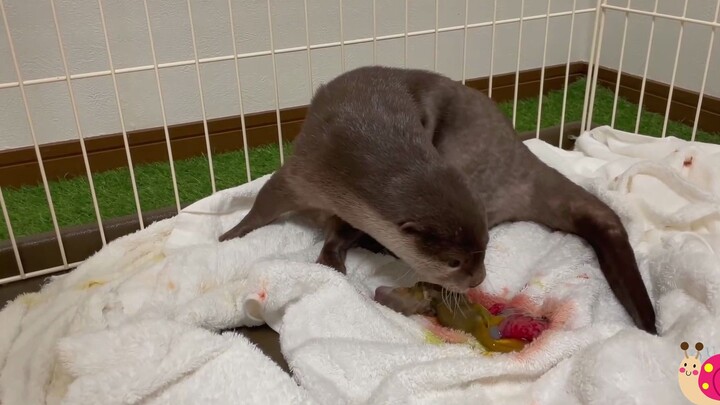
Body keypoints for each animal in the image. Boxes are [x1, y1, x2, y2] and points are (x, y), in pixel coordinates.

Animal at [219, 66, 657, 335]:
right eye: (453, 262)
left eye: (485, 251)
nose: (477, 280)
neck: (355, 153)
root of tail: (523, 160)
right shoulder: (306, 170)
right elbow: (266, 199)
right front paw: (229, 236)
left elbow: (338, 229)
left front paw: (331, 261)